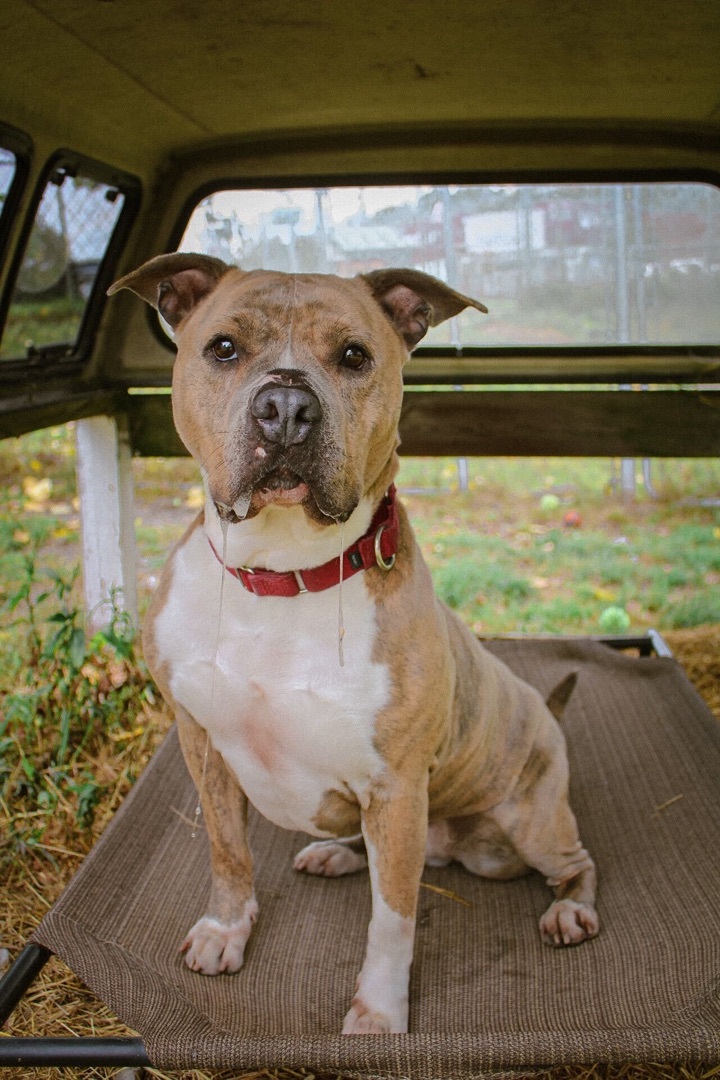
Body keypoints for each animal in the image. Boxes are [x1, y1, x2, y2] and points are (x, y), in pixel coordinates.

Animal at [108, 254, 595, 1036]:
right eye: (223, 348)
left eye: (354, 357)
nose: (284, 408)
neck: (281, 577)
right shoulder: (201, 742)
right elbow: (226, 850)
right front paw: (226, 929)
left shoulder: (395, 786)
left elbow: (392, 918)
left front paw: (379, 1010)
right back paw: (336, 855)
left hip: (530, 821)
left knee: (571, 861)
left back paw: (571, 910)